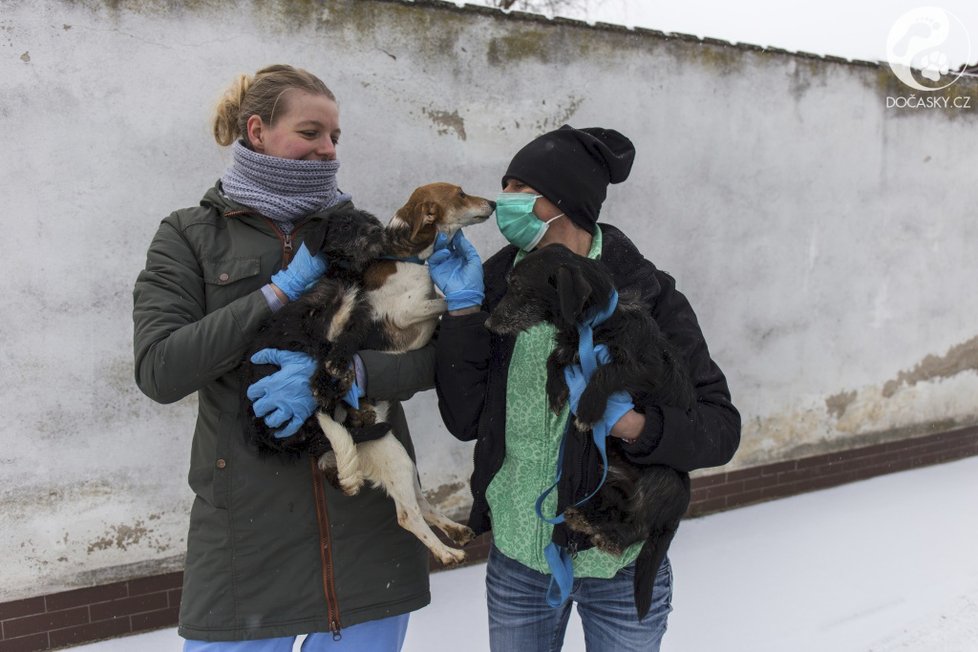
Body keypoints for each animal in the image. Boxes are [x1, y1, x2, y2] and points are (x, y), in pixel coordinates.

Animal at [484, 243, 692, 616]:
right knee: (617, 511)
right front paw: (556, 391)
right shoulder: (570, 348)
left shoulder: (646, 369)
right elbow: (557, 357)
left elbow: (607, 371)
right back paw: (584, 518)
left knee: (638, 526)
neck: (595, 324)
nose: (488, 322)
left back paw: (609, 536)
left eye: (518, 286)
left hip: (665, 478)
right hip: (605, 477)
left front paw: (588, 408)